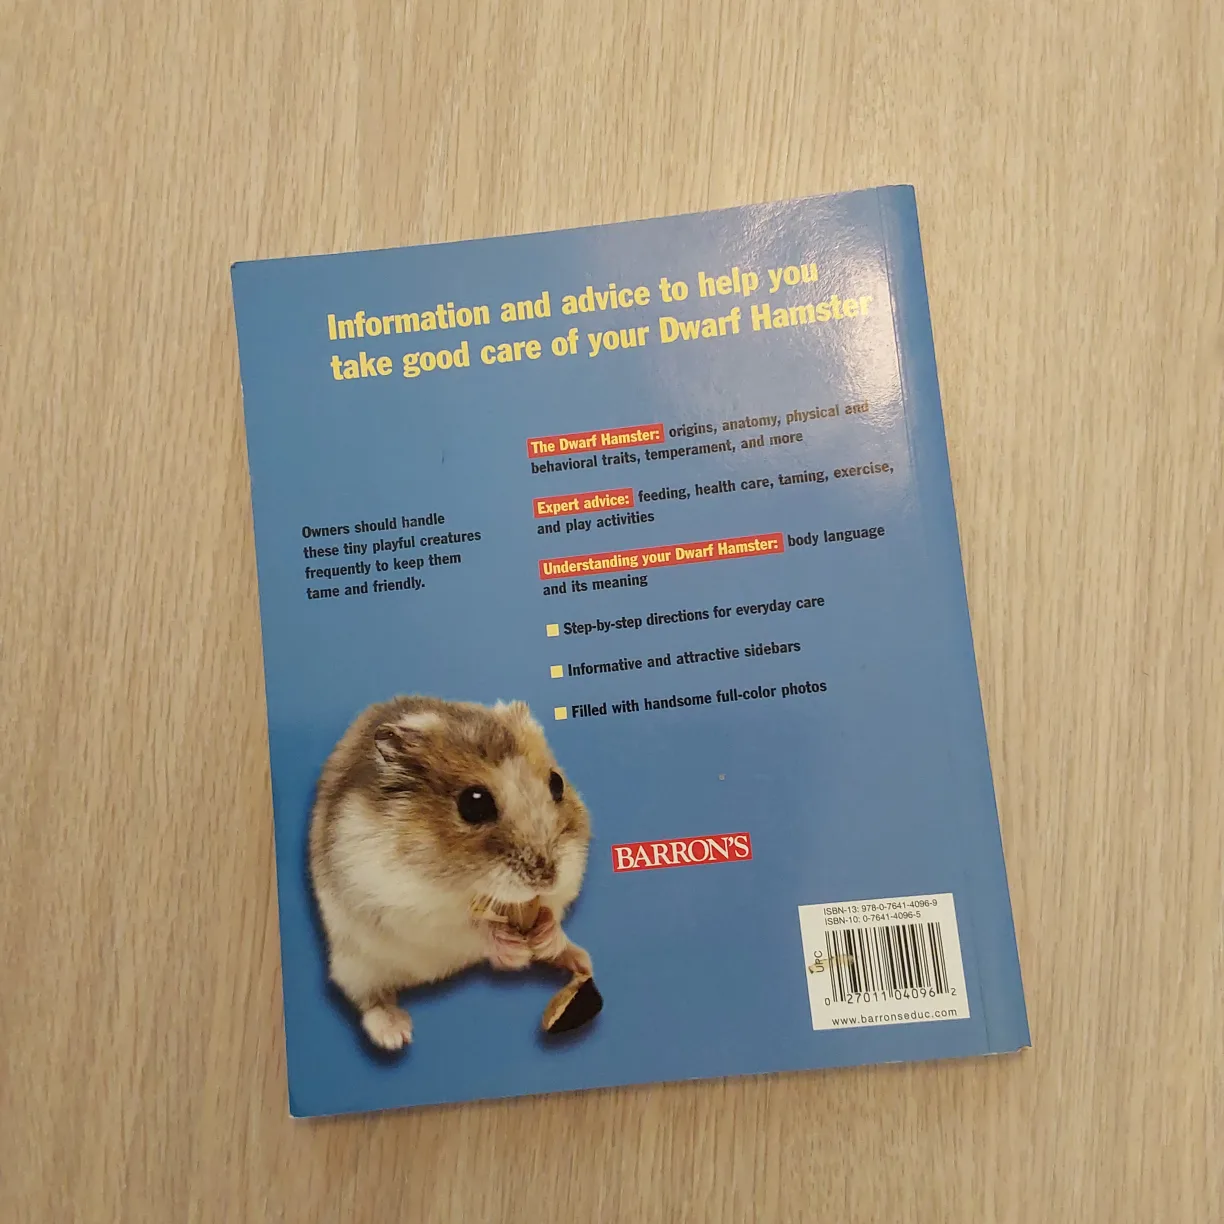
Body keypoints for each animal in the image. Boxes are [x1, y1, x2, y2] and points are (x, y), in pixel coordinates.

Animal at [308, 694, 595, 1051]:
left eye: (557, 783)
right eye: (474, 803)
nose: (547, 877)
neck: (467, 886)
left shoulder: (569, 877)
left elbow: (552, 909)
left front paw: (544, 936)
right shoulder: (411, 908)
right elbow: (468, 930)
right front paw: (513, 950)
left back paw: (580, 959)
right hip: (355, 964)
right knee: (369, 998)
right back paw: (395, 1034)